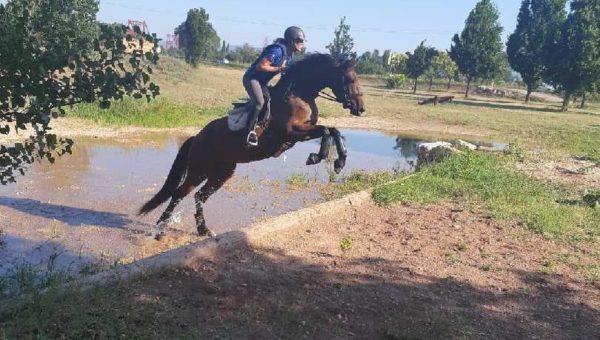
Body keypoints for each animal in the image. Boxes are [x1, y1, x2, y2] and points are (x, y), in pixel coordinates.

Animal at [139, 53, 366, 239]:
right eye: (351, 79)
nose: (361, 109)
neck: (299, 93)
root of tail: (197, 137)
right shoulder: (291, 132)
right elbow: (327, 131)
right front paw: (317, 157)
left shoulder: (300, 133)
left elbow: (333, 130)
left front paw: (340, 162)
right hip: (198, 170)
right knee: (179, 194)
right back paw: (160, 230)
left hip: (222, 172)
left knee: (199, 196)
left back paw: (203, 230)